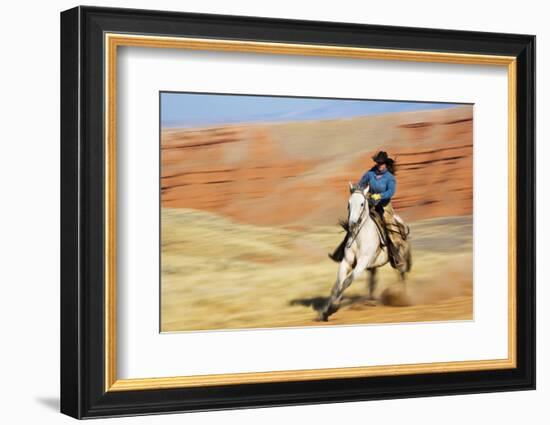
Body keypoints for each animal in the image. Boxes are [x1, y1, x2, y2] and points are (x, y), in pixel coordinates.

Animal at [320, 183, 414, 322]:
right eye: (348, 203)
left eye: (362, 204)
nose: (352, 223)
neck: (360, 237)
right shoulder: (346, 262)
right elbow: (338, 283)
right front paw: (327, 310)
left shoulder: (362, 263)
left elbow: (347, 281)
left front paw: (334, 307)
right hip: (373, 266)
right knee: (373, 281)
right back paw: (370, 301)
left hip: (399, 261)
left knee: (402, 276)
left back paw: (403, 298)